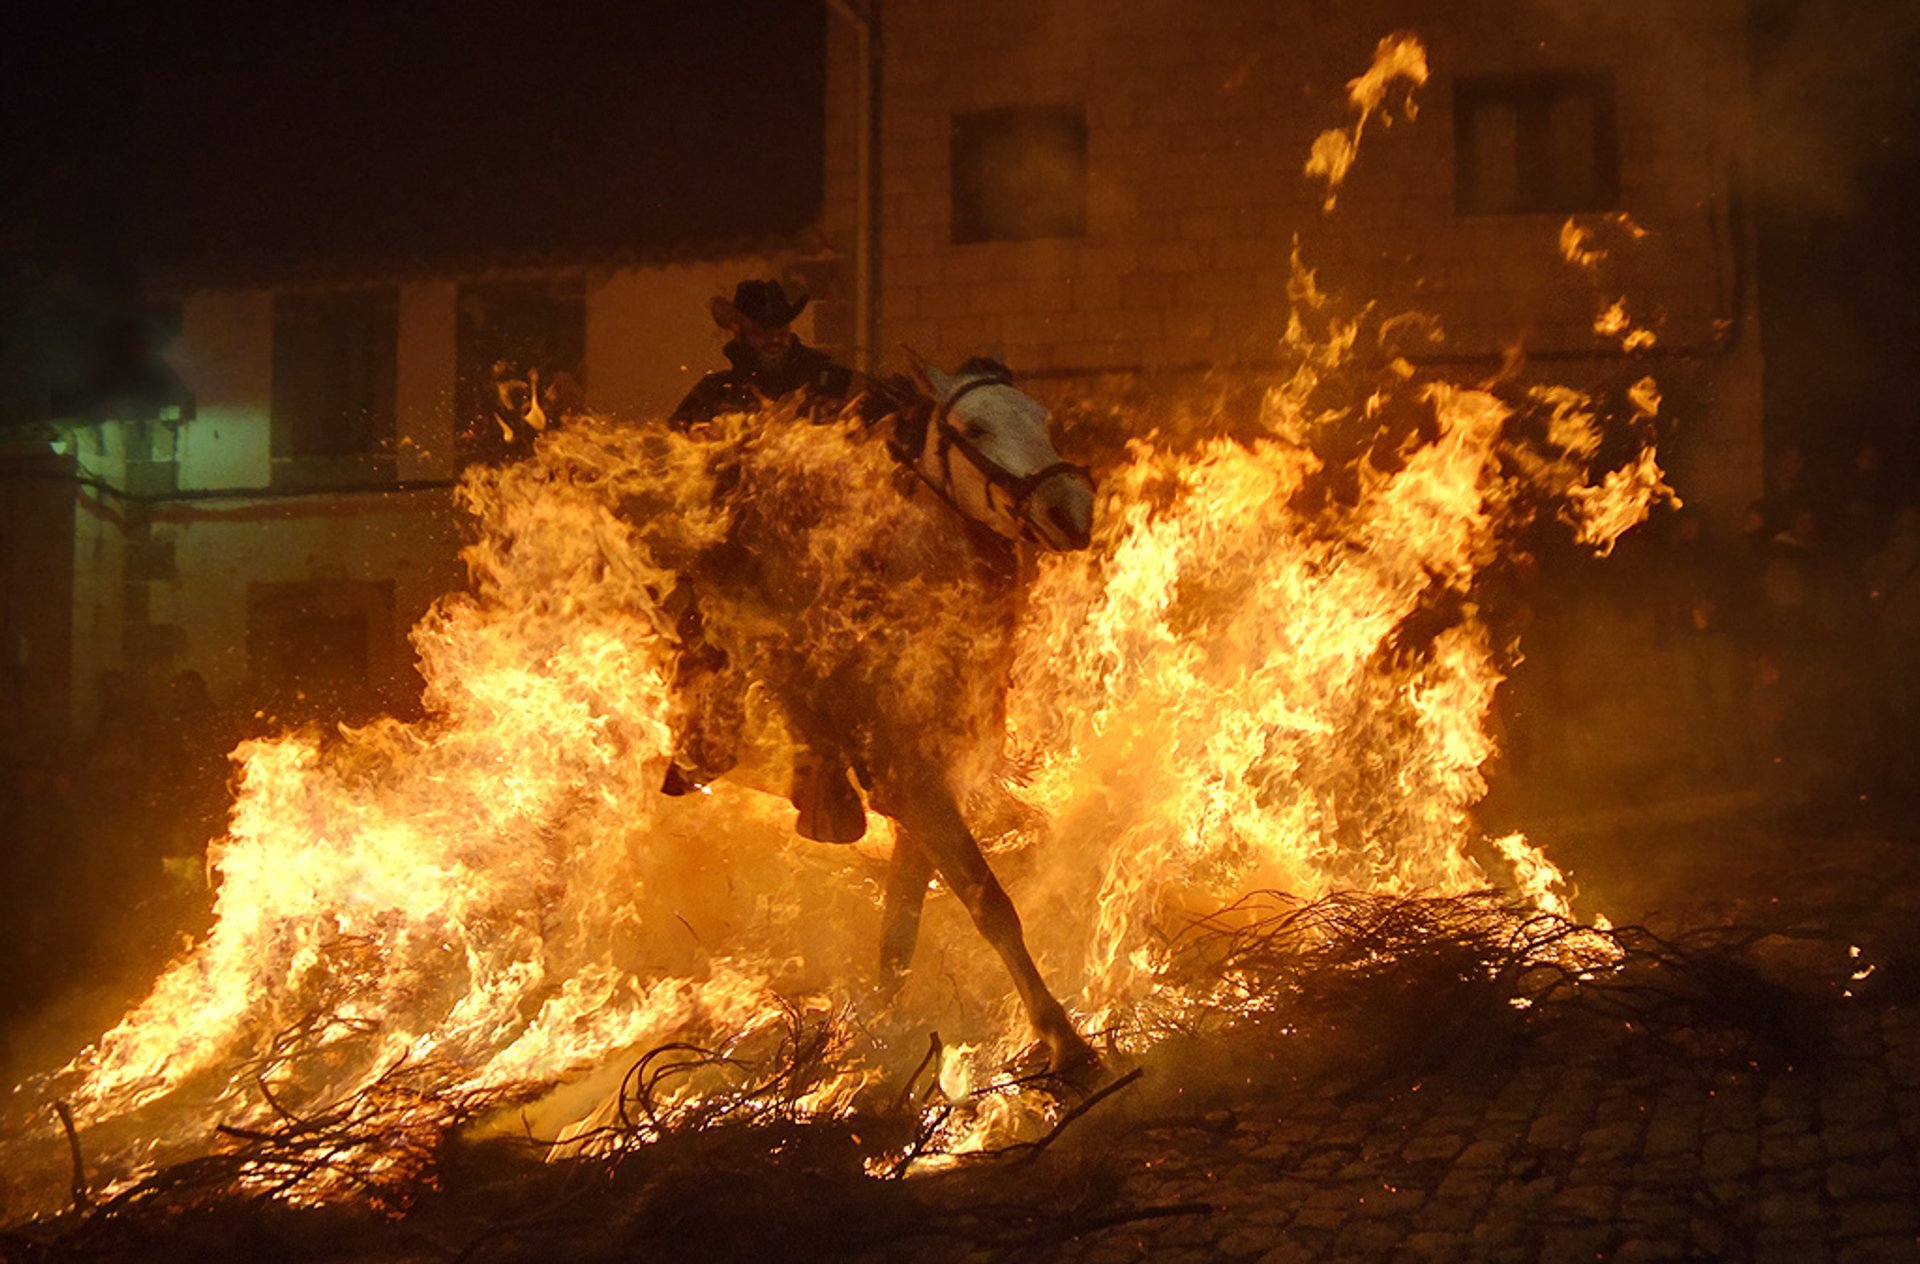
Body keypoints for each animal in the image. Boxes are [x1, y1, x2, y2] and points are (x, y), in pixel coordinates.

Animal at [664, 351, 1098, 1060]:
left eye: (1042, 418)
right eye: (973, 428)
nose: (1069, 509)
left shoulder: (922, 804)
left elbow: (900, 933)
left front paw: (877, 1037)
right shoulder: (918, 789)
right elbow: (990, 904)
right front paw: (1062, 1037)